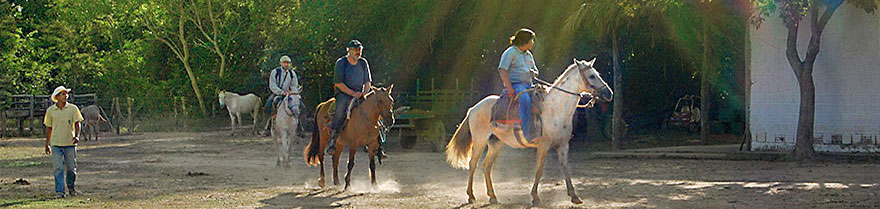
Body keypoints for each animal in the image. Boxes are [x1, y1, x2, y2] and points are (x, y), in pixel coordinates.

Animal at [446, 58, 612, 205]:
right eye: (592, 76)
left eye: (597, 73)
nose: (609, 93)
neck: (554, 109)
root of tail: (474, 108)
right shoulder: (543, 146)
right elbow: (539, 170)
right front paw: (535, 197)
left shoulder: (563, 145)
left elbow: (566, 169)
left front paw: (574, 196)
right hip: (480, 141)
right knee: (473, 164)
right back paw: (471, 196)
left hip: (495, 143)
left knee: (486, 166)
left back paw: (492, 197)